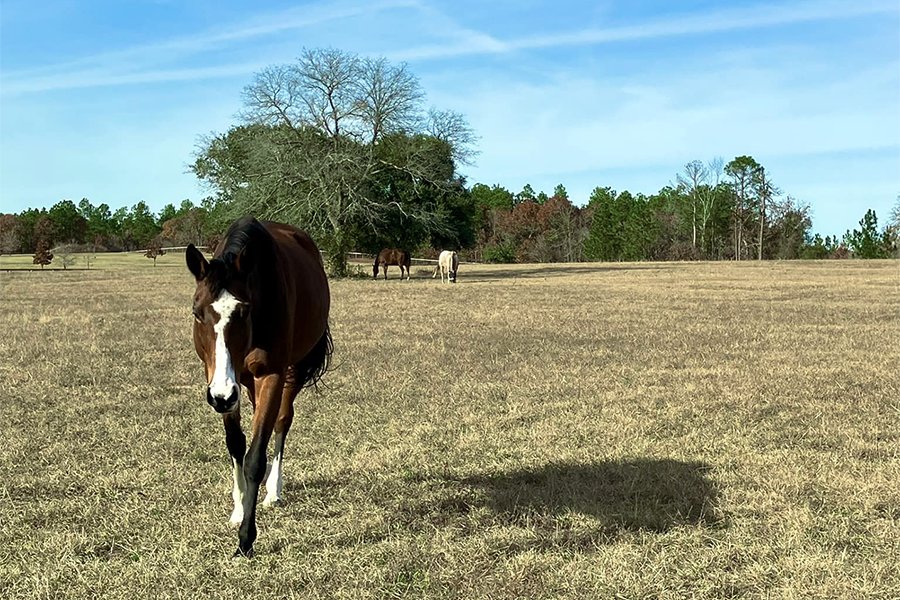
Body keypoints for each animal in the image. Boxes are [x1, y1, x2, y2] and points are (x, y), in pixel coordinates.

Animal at [186, 216, 334, 556]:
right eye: (197, 313)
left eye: (244, 310)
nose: (220, 396)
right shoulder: (224, 382)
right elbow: (236, 444)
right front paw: (239, 509)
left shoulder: (271, 376)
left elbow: (256, 456)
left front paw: (246, 538)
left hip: (291, 370)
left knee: (282, 421)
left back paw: (273, 491)